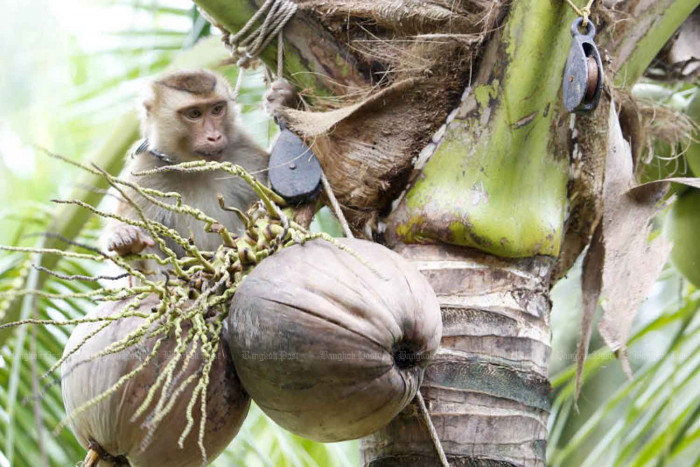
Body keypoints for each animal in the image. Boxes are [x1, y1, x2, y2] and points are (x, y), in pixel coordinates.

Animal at [103, 69, 299, 265]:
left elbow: (274, 199)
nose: (214, 137)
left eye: (217, 109)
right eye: (194, 114)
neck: (193, 169)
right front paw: (128, 240)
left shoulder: (243, 151)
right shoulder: (142, 174)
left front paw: (286, 101)